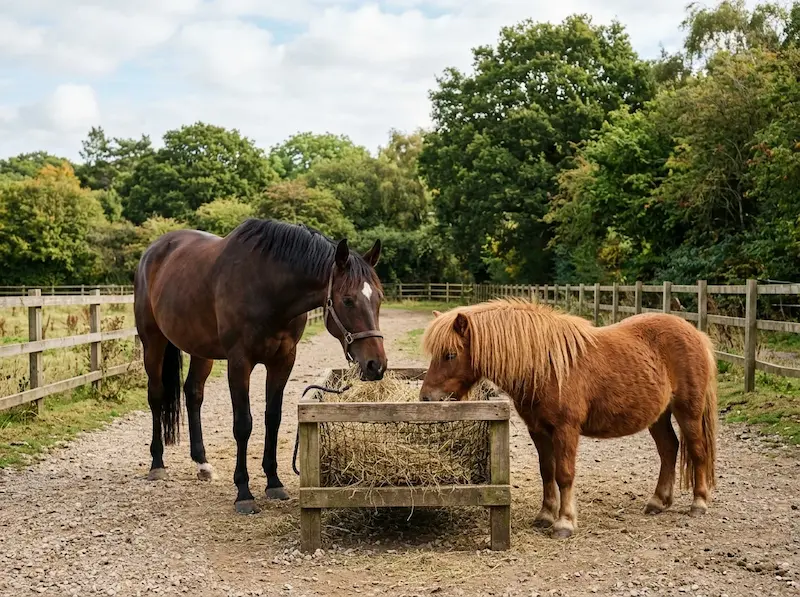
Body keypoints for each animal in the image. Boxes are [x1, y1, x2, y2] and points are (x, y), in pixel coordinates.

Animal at [134, 218, 387, 514]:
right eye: (347, 300)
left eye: (379, 298)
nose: (376, 365)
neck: (268, 286)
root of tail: (154, 251)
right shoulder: (239, 362)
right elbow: (243, 424)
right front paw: (243, 492)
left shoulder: (283, 361)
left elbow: (272, 418)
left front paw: (274, 482)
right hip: (153, 342)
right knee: (156, 396)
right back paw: (157, 464)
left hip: (201, 350)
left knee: (193, 393)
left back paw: (203, 464)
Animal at [419, 299, 717, 539]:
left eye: (450, 354)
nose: (426, 398)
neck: (546, 366)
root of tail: (695, 333)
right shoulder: (538, 430)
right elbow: (546, 471)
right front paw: (545, 515)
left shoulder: (566, 430)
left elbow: (564, 474)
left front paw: (564, 522)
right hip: (658, 416)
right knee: (669, 449)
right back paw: (658, 501)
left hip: (688, 412)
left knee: (697, 451)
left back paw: (699, 504)